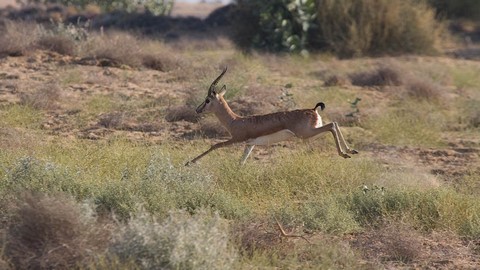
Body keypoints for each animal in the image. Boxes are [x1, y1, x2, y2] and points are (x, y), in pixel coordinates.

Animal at [186, 66, 358, 166]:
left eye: (207, 100)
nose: (197, 110)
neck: (235, 121)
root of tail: (313, 110)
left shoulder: (236, 139)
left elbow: (215, 145)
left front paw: (189, 162)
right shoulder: (249, 144)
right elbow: (241, 162)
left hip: (305, 134)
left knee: (331, 126)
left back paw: (344, 153)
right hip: (311, 132)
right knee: (334, 124)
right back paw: (351, 151)